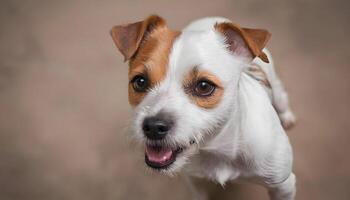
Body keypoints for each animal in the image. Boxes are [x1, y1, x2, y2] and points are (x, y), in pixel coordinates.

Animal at [110, 14, 296, 199]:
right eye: (140, 82)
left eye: (204, 86)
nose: (153, 127)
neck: (216, 149)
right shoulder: (195, 181)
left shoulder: (283, 186)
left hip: (277, 90)